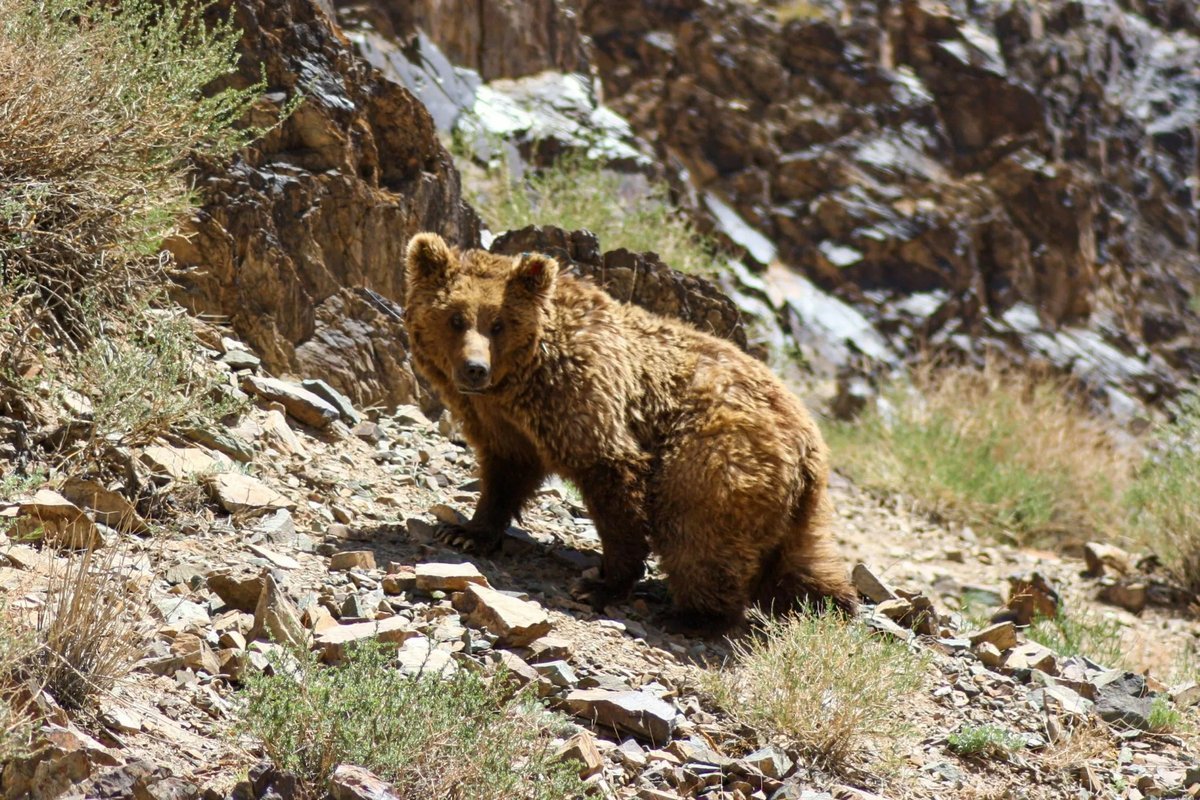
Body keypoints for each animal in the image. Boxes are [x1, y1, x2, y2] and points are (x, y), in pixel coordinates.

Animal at [403, 232, 857, 633]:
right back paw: (831, 604)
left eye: (498, 324)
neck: (521, 381)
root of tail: (809, 446)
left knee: (696, 532)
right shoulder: (503, 422)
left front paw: (603, 583)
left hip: (714, 456)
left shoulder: (583, 399)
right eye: (455, 317)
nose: (474, 369)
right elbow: (505, 473)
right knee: (803, 559)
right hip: (798, 505)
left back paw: (693, 616)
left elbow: (613, 480)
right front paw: (465, 532)